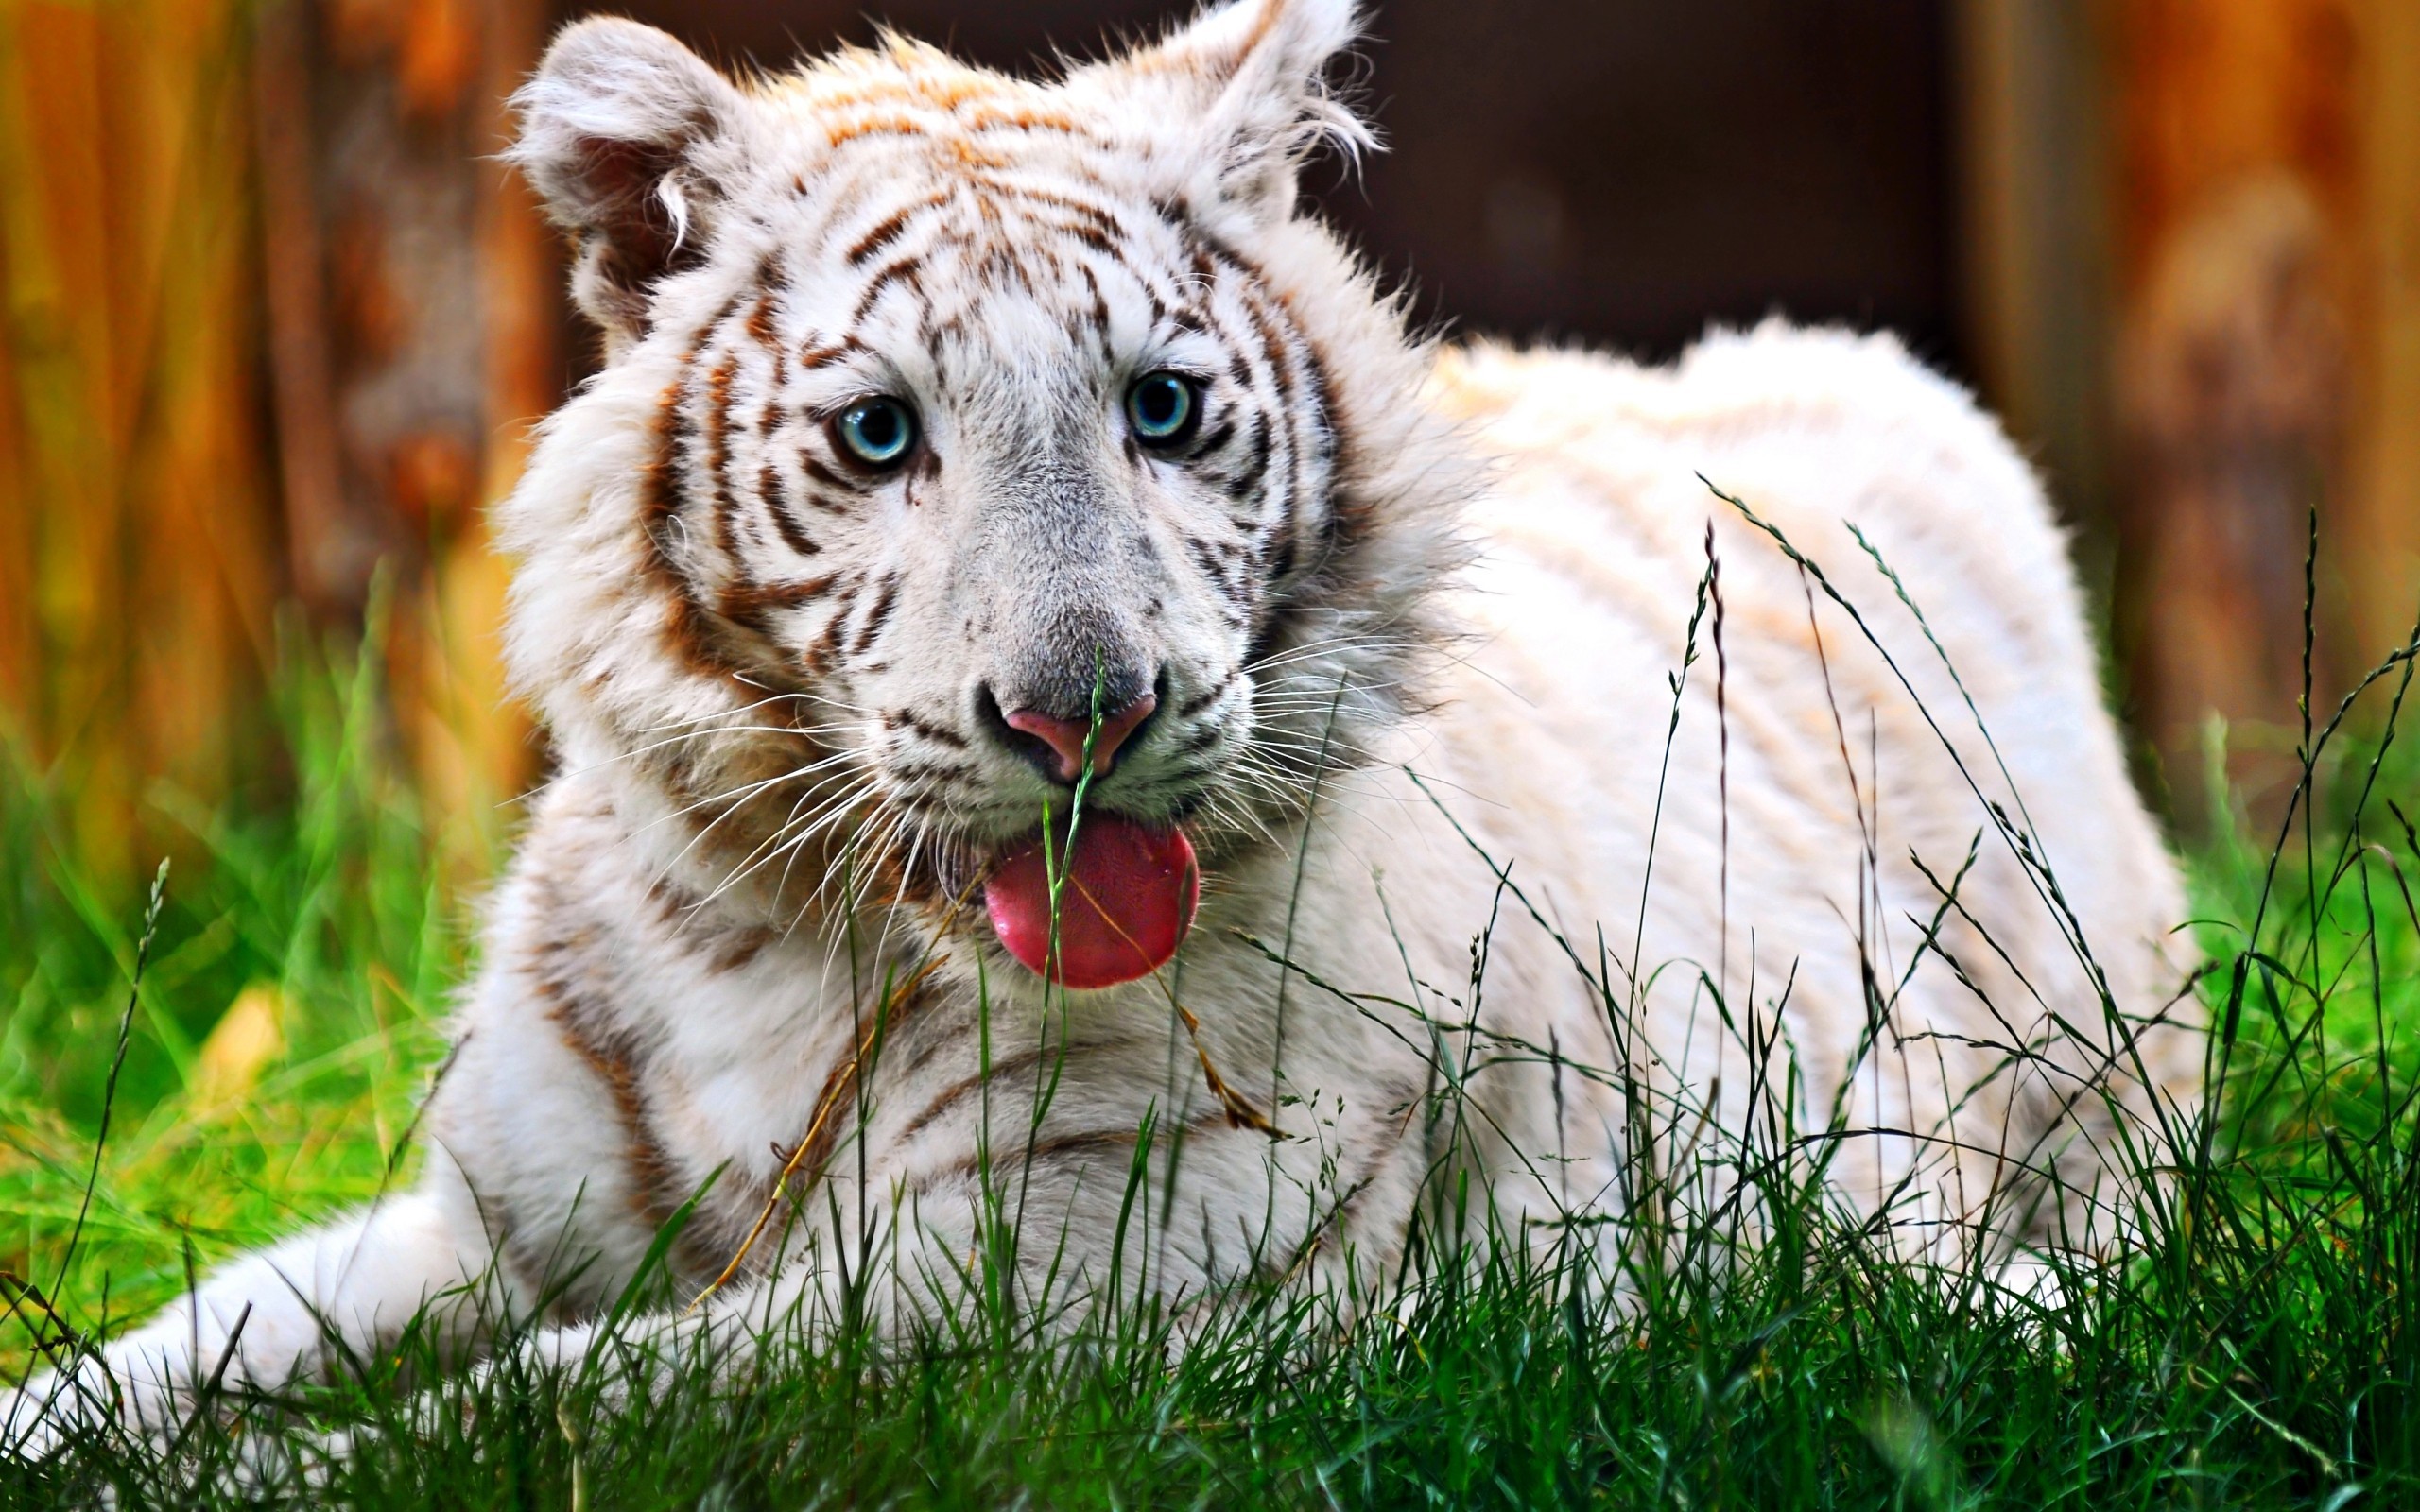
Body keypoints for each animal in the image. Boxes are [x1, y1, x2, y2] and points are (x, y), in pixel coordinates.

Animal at [9, 0, 2197, 1452]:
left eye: (1158, 409)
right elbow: (194, 1339)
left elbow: (503, 1424)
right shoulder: (484, 1224)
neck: (774, 942)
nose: (1087, 718)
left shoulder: (1022, 1287)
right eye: (879, 434)